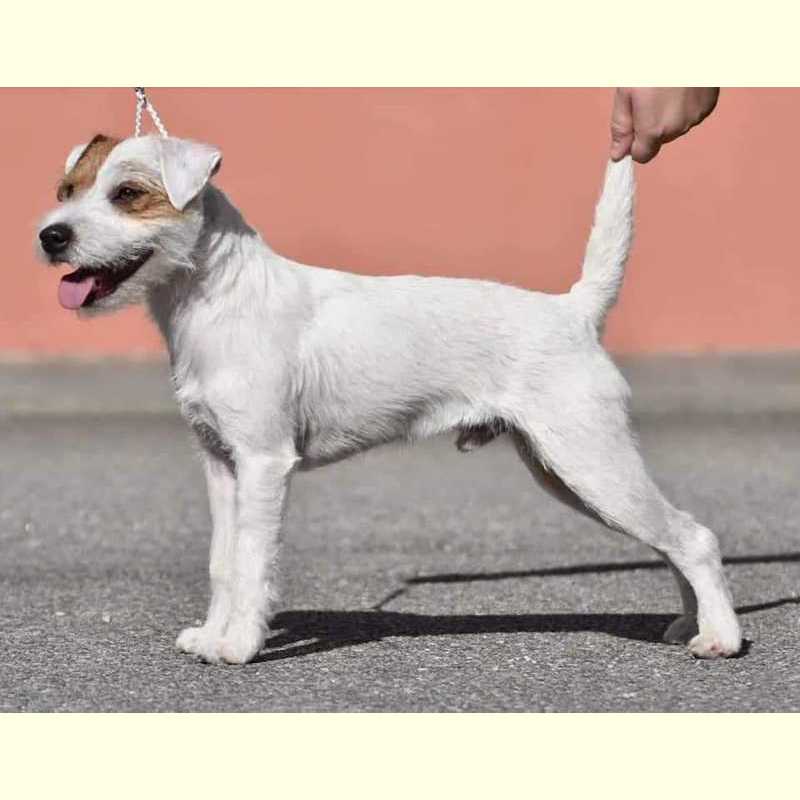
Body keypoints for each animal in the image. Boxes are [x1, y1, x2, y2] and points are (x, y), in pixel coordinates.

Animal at [37, 133, 742, 665]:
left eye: (128, 194)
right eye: (67, 190)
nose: (51, 236)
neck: (219, 297)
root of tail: (573, 310)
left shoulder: (264, 464)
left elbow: (253, 560)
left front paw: (238, 647)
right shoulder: (220, 463)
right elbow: (222, 561)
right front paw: (212, 636)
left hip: (589, 462)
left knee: (693, 537)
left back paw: (721, 638)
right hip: (570, 472)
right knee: (671, 540)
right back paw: (689, 626)